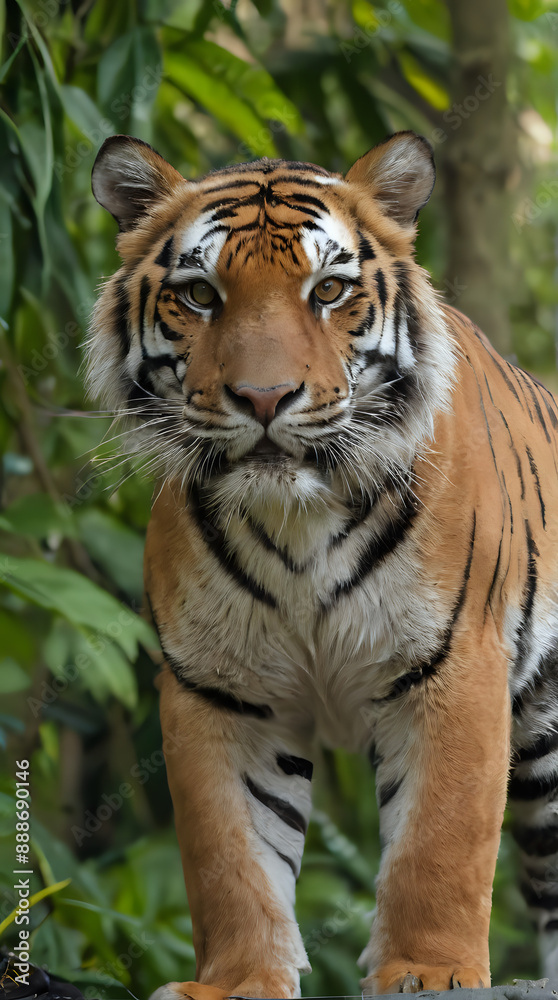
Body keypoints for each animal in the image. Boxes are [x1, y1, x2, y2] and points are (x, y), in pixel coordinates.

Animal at [87, 130, 558, 999]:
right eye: (199, 295)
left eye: (329, 290)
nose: (264, 397)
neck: (298, 521)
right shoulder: (219, 688)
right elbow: (230, 857)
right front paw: (237, 980)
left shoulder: (454, 665)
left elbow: (441, 841)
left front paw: (429, 971)